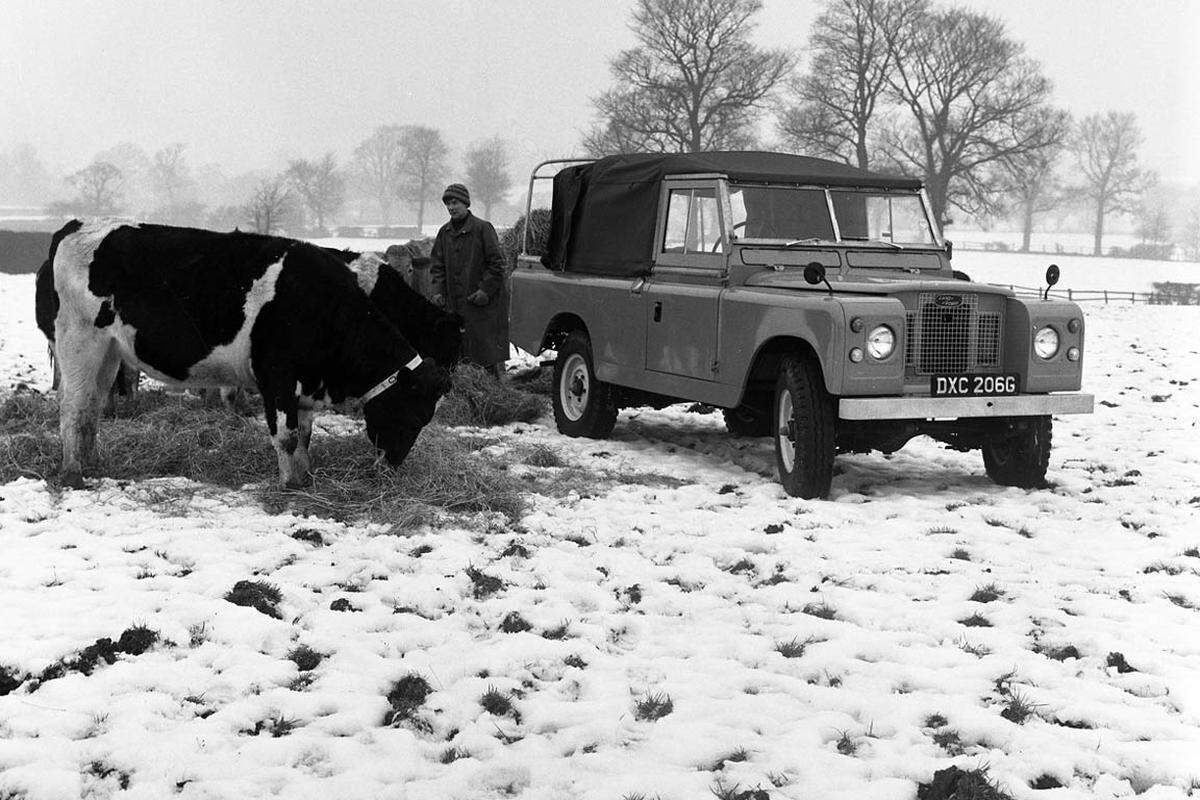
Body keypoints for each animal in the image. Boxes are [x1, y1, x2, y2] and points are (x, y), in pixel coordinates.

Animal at [37, 221, 456, 491]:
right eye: (411, 411)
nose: (392, 466)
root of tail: (76, 227)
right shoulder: (278, 376)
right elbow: (286, 435)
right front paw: (290, 485)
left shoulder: (305, 383)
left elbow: (305, 435)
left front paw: (305, 478)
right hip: (78, 342)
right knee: (73, 406)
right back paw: (73, 474)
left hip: (109, 352)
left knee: (93, 406)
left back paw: (92, 462)